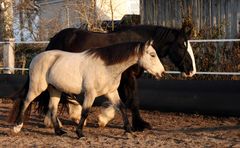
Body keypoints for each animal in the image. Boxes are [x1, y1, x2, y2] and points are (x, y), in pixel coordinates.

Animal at [35, 24, 196, 131]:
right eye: (182, 45)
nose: (191, 71)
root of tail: (55, 39)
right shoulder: (129, 77)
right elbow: (133, 100)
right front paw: (140, 125)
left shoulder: (120, 80)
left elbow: (121, 101)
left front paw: (103, 119)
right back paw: (61, 120)